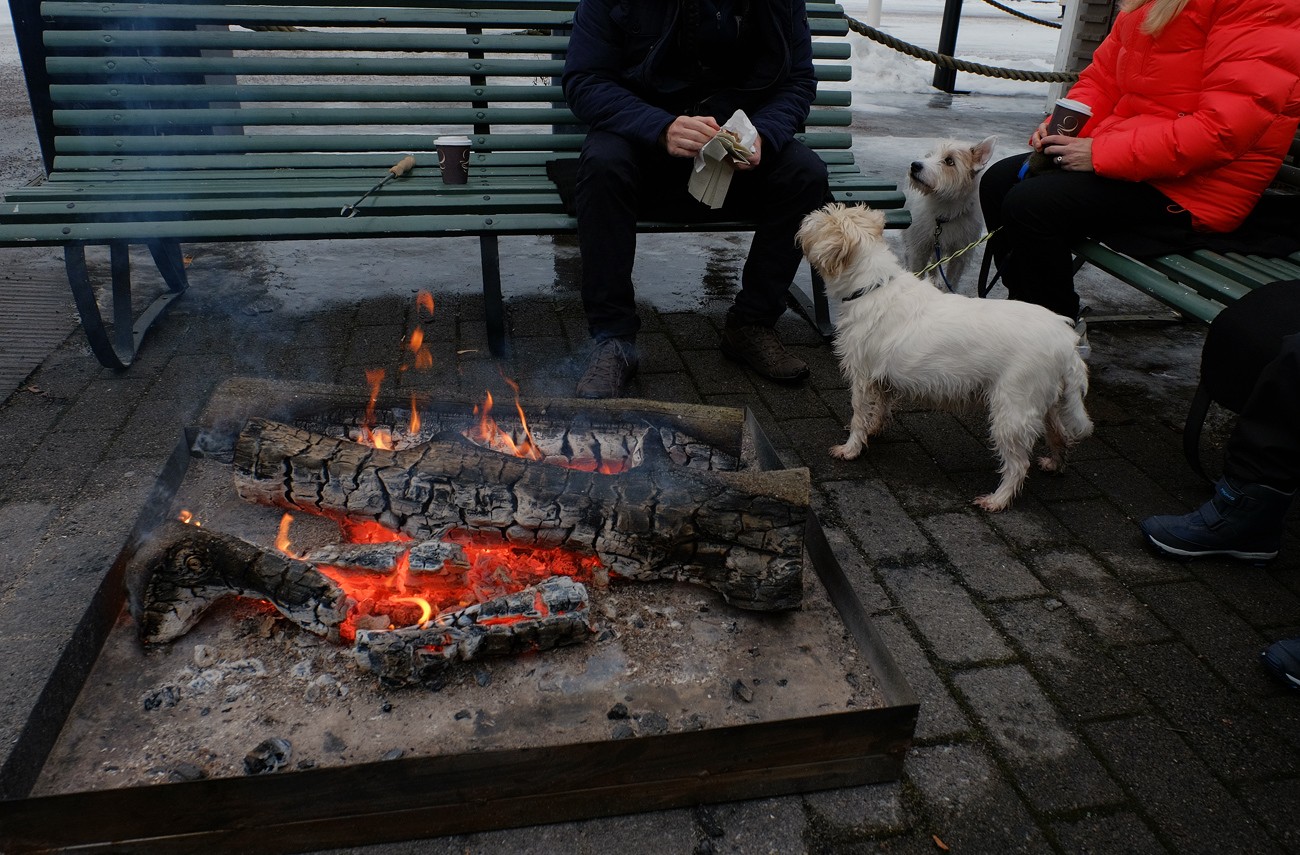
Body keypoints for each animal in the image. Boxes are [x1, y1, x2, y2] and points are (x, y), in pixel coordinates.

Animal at [795, 202, 1092, 509]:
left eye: (824, 219)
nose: (806, 218)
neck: (873, 286)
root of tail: (1066, 341)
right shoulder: (882, 378)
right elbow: (880, 408)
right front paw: (874, 430)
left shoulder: (862, 377)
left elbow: (858, 414)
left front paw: (851, 449)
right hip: (1046, 402)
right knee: (1060, 434)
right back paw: (1054, 464)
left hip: (1013, 410)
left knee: (1019, 465)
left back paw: (997, 500)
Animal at [904, 136, 993, 288]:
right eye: (929, 155)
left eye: (949, 161)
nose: (915, 165)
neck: (945, 208)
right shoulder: (919, 250)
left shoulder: (959, 255)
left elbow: (951, 281)